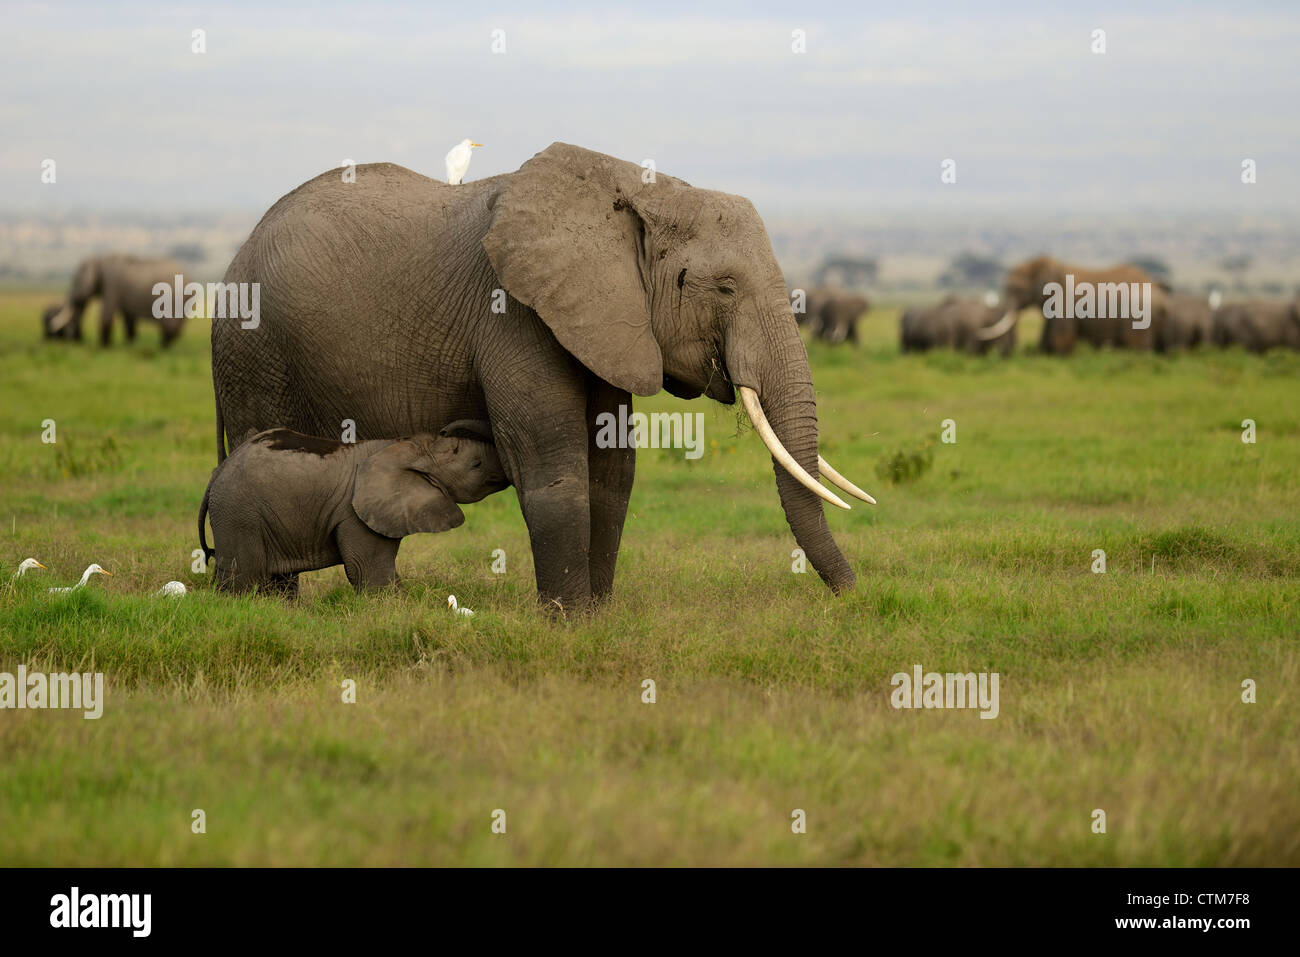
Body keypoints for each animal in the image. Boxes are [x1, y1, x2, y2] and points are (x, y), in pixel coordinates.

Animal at [47, 254, 188, 348]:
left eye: (75, 281)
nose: (74, 340)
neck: (99, 260)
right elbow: (128, 319)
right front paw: (129, 344)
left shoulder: (111, 284)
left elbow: (107, 314)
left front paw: (104, 347)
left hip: (173, 301)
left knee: (170, 326)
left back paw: (164, 347)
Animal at [200, 421, 509, 595]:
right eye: (476, 465)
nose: (445, 427)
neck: (401, 446)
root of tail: (218, 471)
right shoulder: (353, 515)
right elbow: (369, 572)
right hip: (239, 514)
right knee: (243, 578)